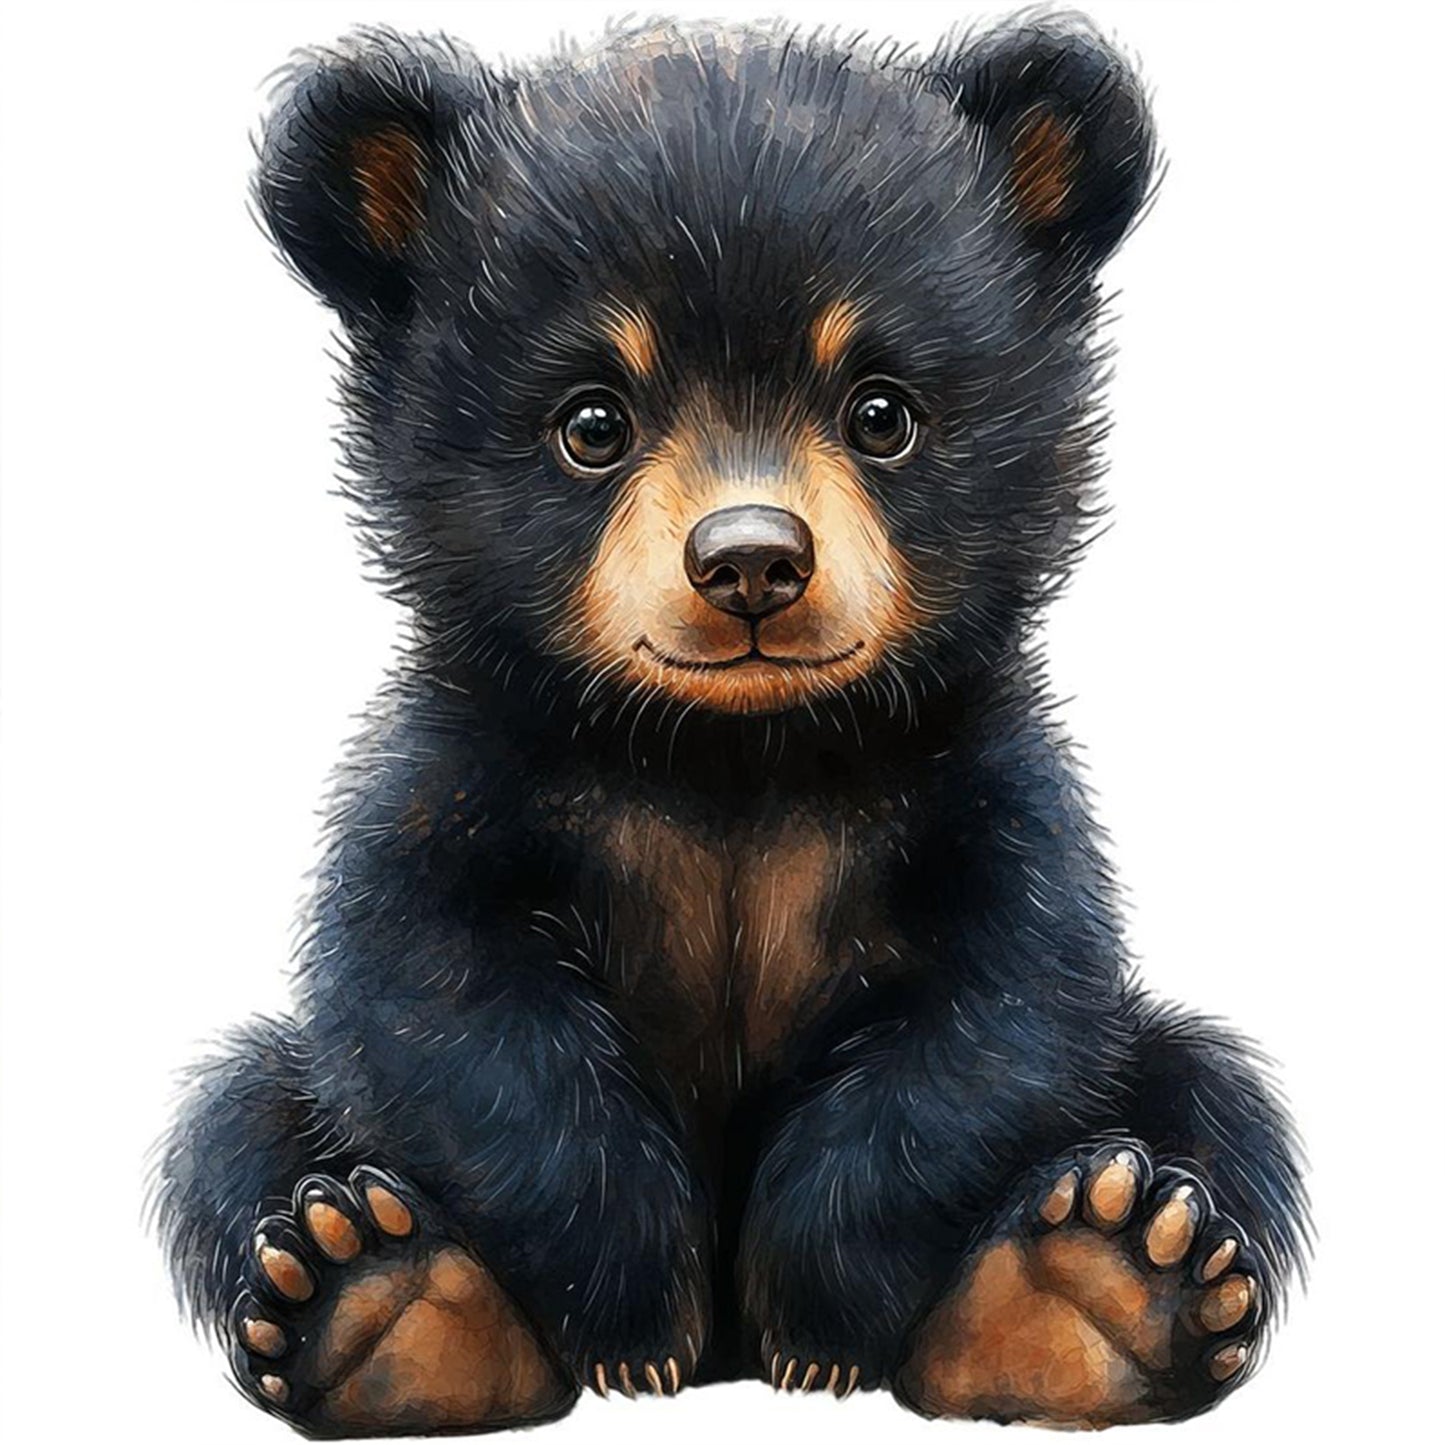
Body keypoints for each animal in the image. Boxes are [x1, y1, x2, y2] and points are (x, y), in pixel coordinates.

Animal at [154, 15, 1310, 1436]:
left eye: (881, 410)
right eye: (591, 421)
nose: (751, 560)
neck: (733, 749)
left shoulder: (982, 785)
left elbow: (1001, 1012)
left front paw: (817, 1322)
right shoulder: (462, 768)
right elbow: (439, 993)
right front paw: (632, 1316)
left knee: (1211, 1096)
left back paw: (1093, 1280)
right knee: (238, 1116)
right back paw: (380, 1297)